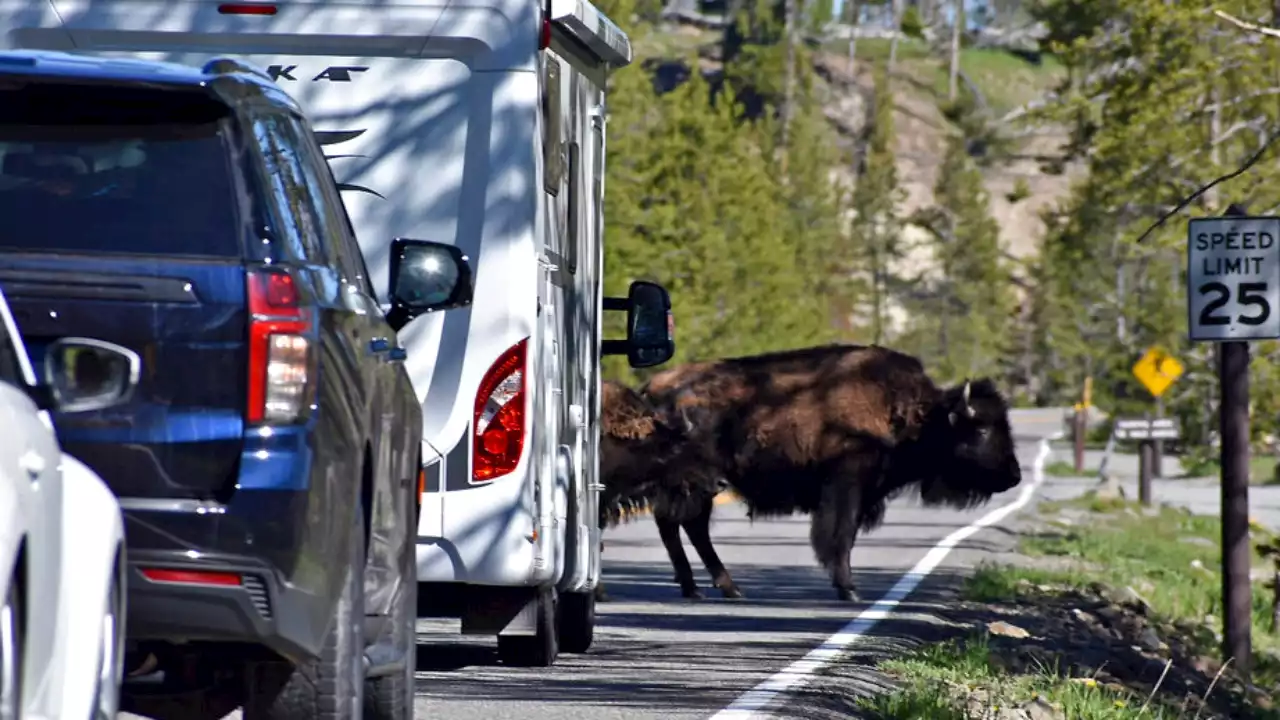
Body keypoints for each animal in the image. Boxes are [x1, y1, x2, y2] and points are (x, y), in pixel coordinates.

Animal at [593, 340, 1024, 599]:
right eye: (982, 428)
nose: (1014, 476)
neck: (914, 410)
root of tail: (653, 389)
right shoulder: (847, 484)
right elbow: (840, 534)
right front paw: (849, 588)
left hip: (697, 485)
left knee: (680, 525)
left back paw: (708, 587)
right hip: (697, 483)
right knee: (684, 524)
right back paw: (718, 586)